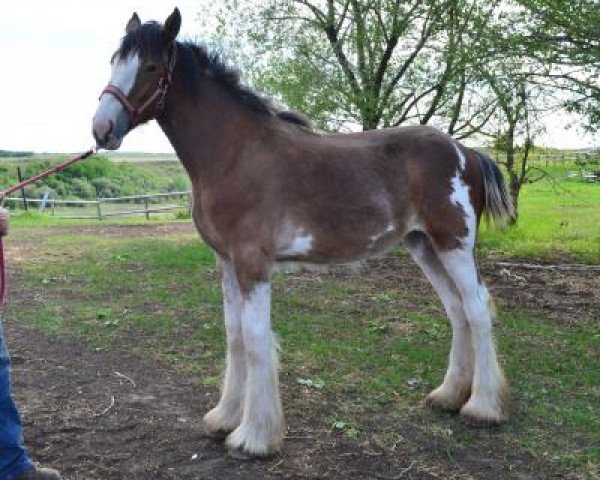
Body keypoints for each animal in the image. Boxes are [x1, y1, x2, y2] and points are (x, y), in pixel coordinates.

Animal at [94, 8, 516, 458]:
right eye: (115, 61)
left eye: (152, 67)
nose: (102, 128)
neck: (235, 153)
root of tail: (466, 152)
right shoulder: (226, 262)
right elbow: (234, 336)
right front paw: (224, 417)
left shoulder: (252, 263)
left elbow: (256, 339)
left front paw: (254, 436)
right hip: (425, 246)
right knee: (456, 310)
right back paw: (450, 395)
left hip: (454, 243)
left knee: (476, 309)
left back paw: (482, 407)